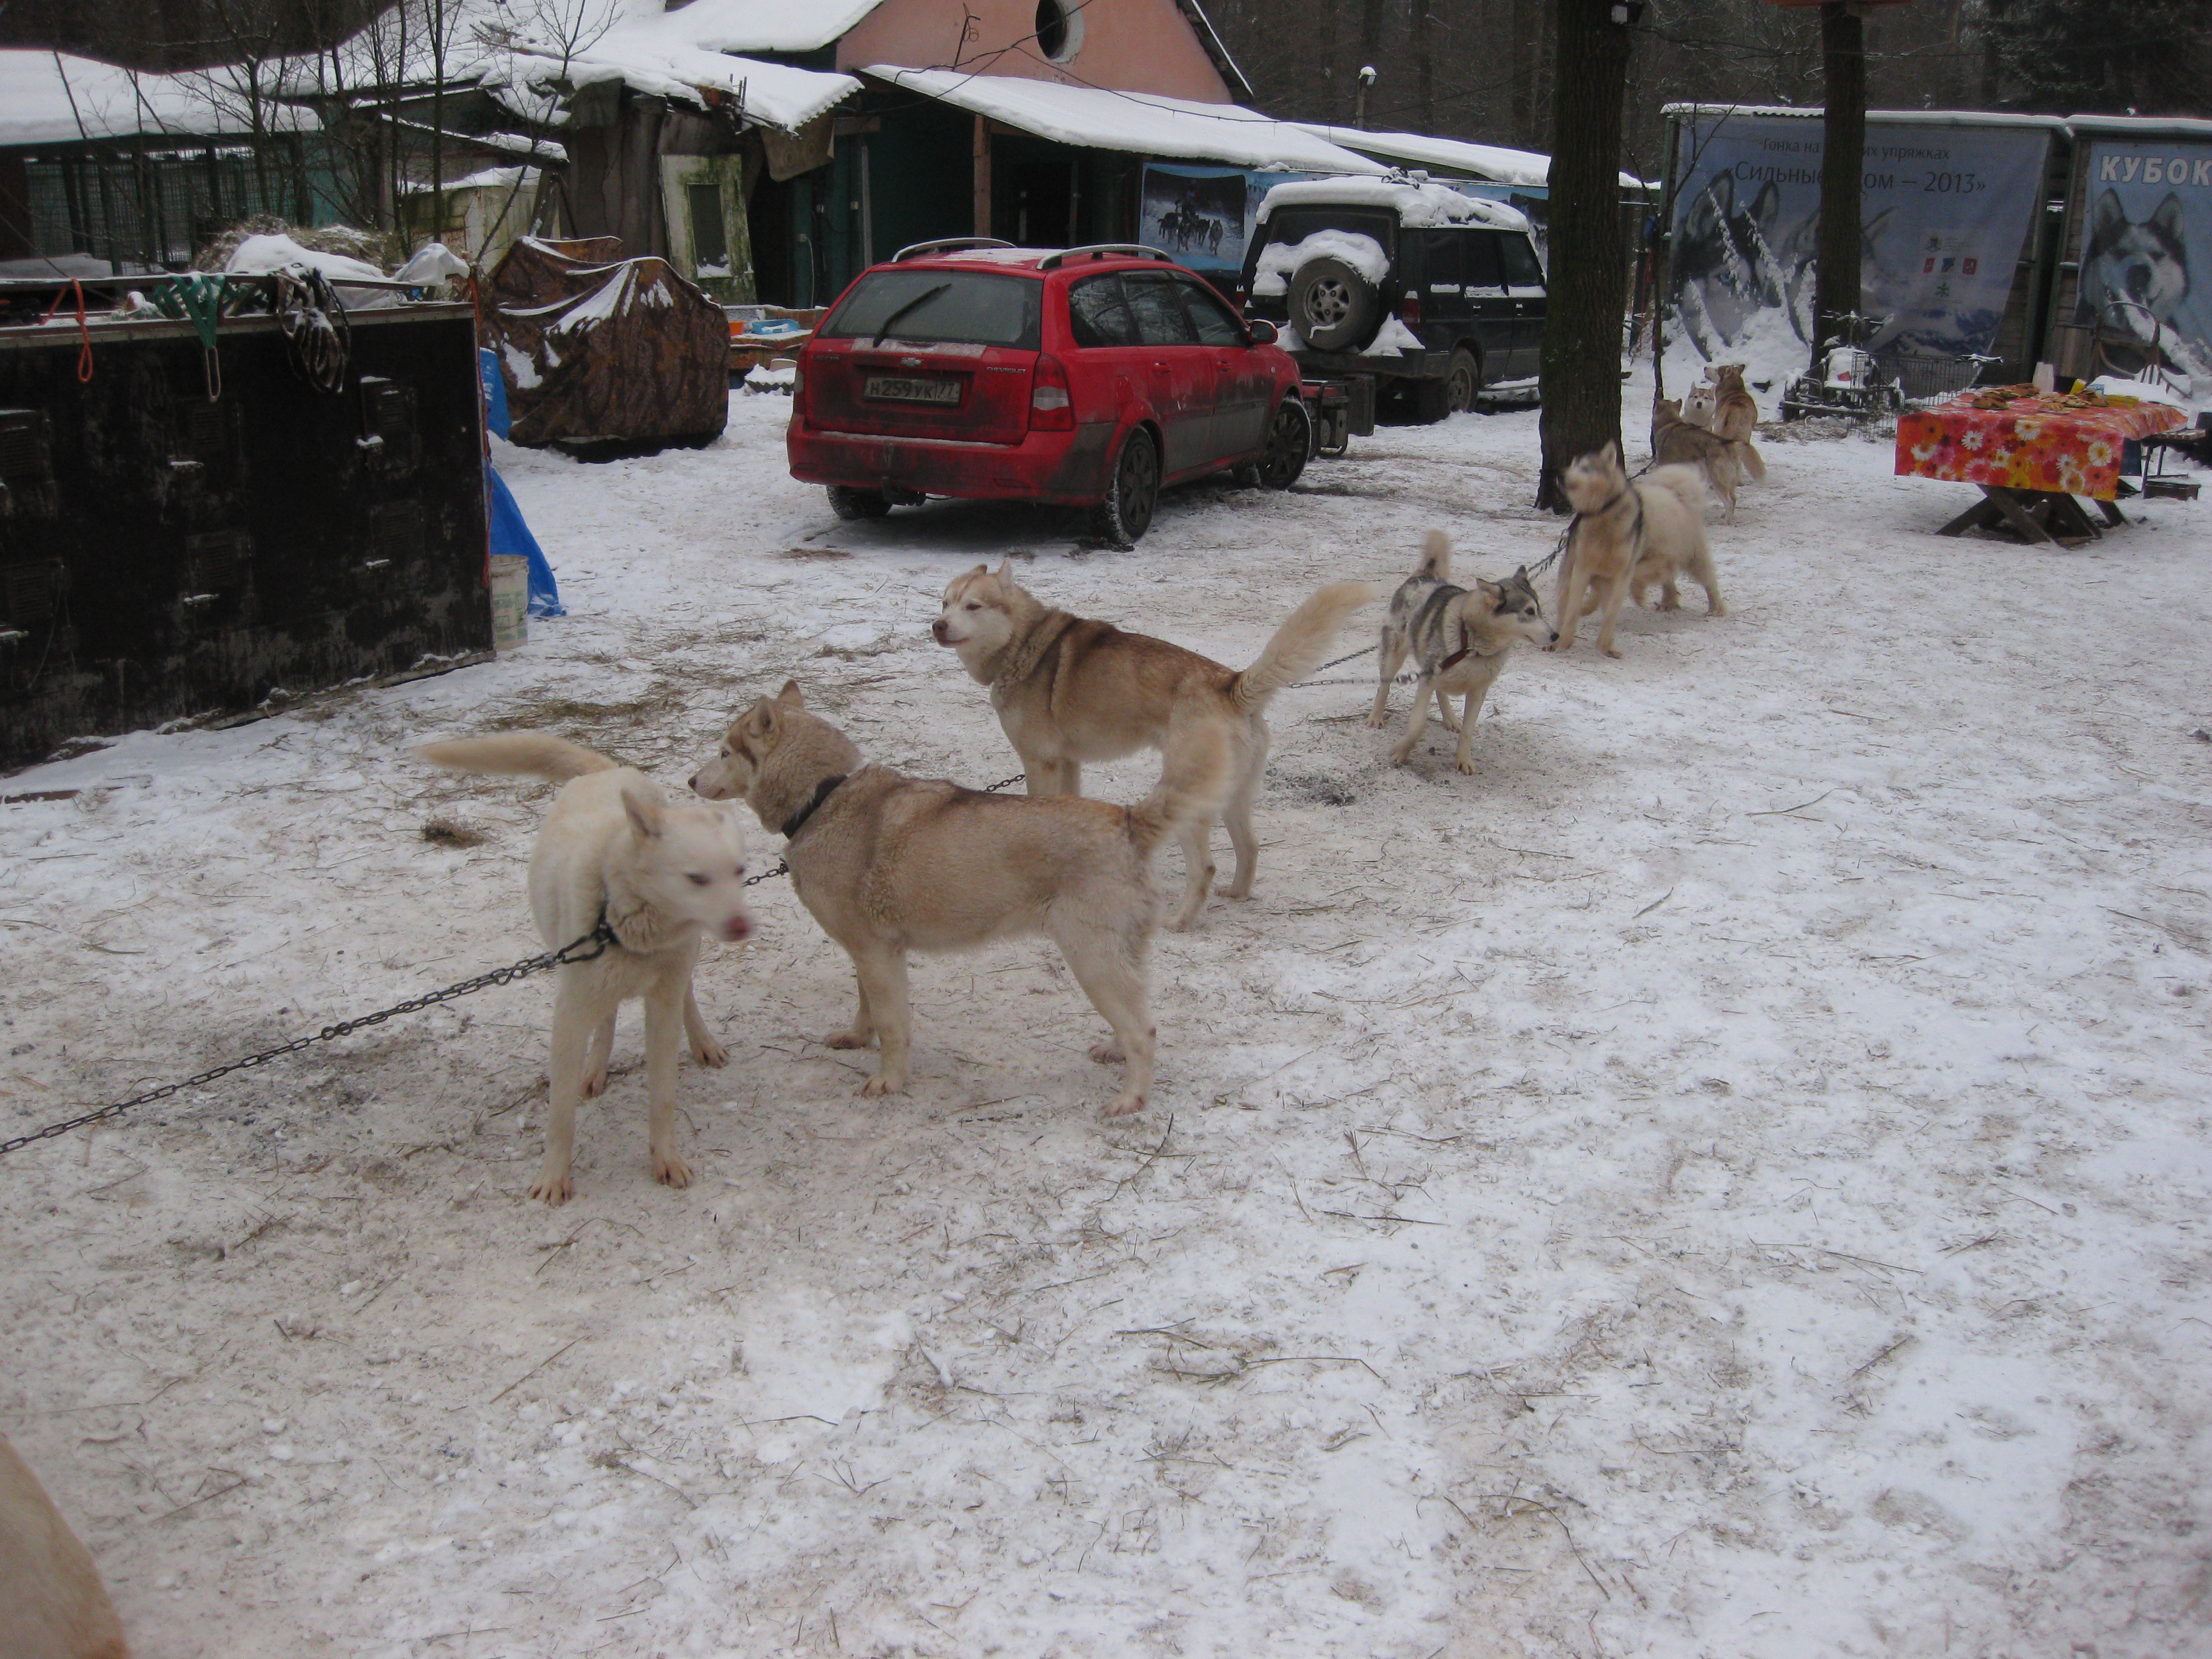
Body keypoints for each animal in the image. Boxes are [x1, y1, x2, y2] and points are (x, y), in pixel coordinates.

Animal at [418, 734, 756, 1203]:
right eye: (696, 879)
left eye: (739, 871)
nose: (744, 926)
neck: (622, 923)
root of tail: (606, 771)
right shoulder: (571, 1016)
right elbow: (560, 1114)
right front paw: (554, 1177)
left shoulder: (662, 1010)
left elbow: (663, 1099)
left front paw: (666, 1159)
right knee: (608, 1015)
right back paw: (596, 1068)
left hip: (676, 970)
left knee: (684, 994)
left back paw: (702, 1041)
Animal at [685, 681, 1221, 1124]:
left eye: (723, 751)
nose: (690, 783)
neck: (823, 797)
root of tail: (1127, 821)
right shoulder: (867, 953)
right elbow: (865, 1007)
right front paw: (857, 1039)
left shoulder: (878, 955)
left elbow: (892, 1025)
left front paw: (889, 1080)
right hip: (1115, 963)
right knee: (1137, 1019)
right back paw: (1115, 1053)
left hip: (1092, 962)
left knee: (1144, 1032)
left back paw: (1132, 1100)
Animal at [929, 566, 1362, 937]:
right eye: (945, 603)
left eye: (973, 606)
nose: (937, 625)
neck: (1023, 644)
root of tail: (1230, 684)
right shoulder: (1068, 764)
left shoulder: (1041, 763)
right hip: (1233, 798)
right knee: (1249, 847)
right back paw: (1237, 894)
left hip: (1186, 802)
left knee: (1204, 869)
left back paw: (1179, 923)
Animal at [1362, 535, 1557, 779]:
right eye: (1529, 612)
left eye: (1539, 610)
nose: (1556, 635)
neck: (1472, 645)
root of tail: (1424, 575)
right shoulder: (1427, 679)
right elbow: (1418, 724)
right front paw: (1400, 751)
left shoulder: (1478, 691)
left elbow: (1468, 731)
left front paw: (1463, 759)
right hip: (1395, 655)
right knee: (1385, 686)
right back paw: (1376, 717)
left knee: (1441, 693)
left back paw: (1450, 718)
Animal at [1548, 455, 1716, 668]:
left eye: (1584, 468)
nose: (1560, 474)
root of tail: (1677, 494)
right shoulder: (1591, 569)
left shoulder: (1633, 567)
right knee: (1670, 582)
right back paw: (1667, 603)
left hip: (1692, 558)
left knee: (1709, 583)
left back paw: (1716, 609)